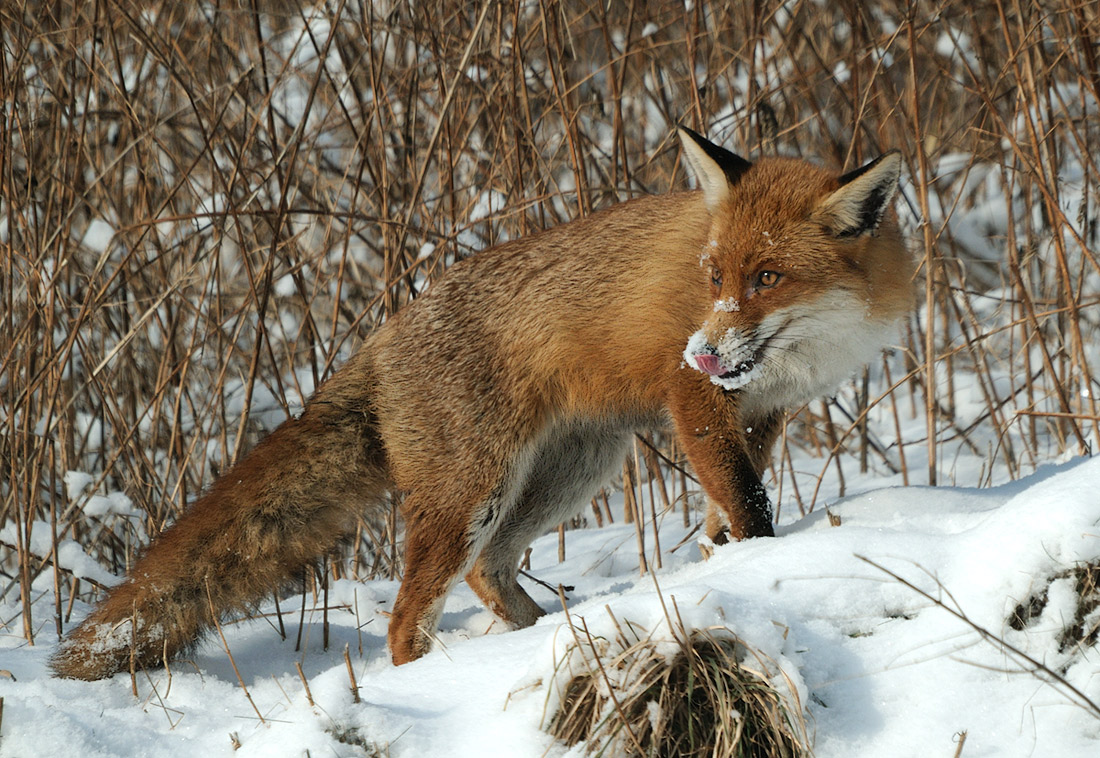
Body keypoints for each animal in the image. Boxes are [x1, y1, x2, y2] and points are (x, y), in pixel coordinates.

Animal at [51, 125, 910, 682]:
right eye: (713, 276)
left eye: (767, 278)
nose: (700, 349)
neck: (814, 342)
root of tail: (384, 331)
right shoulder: (696, 402)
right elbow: (747, 504)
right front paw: (764, 559)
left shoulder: (761, 413)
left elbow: (728, 513)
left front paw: (731, 561)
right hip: (474, 490)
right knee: (409, 618)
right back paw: (435, 681)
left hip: (569, 472)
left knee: (488, 572)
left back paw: (535, 642)